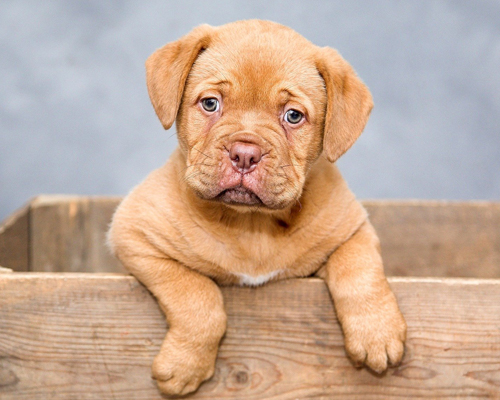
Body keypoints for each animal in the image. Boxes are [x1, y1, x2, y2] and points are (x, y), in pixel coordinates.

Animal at [108, 20, 406, 396]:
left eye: (293, 116)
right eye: (210, 104)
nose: (245, 154)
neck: (252, 225)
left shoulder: (352, 229)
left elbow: (360, 270)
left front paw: (376, 333)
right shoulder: (134, 233)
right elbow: (197, 296)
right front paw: (185, 366)